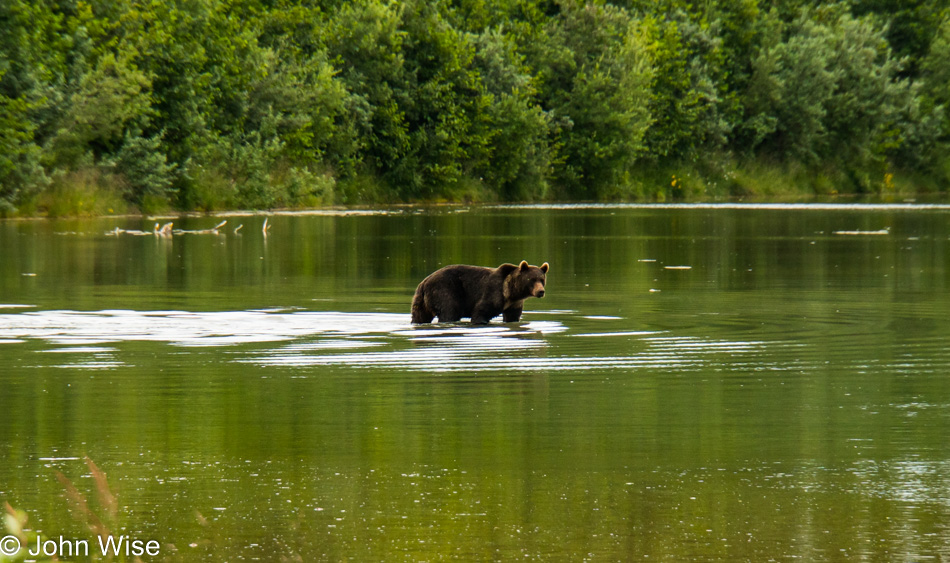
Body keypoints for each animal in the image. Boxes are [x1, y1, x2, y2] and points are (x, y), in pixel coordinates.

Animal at [410, 262, 552, 324]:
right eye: (532, 279)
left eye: (542, 279)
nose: (541, 291)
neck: (510, 292)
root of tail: (424, 282)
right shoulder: (493, 292)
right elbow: (481, 312)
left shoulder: (514, 304)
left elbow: (512, 317)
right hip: (445, 290)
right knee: (450, 311)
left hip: (420, 300)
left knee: (420, 315)